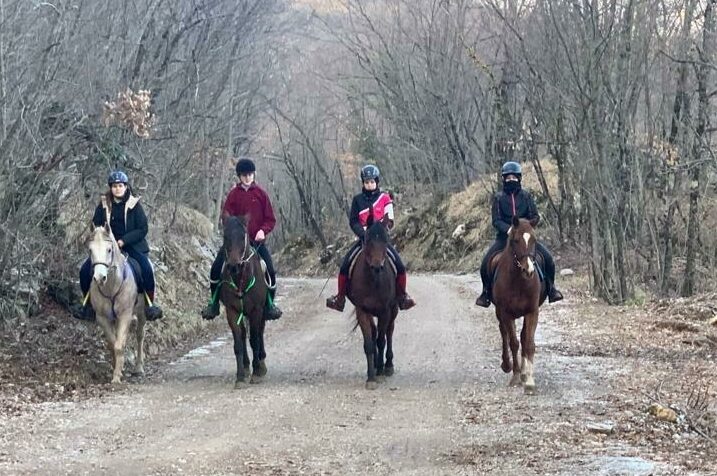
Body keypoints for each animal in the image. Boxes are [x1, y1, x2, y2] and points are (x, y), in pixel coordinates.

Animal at [87, 224, 146, 384]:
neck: (111, 287)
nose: (99, 278)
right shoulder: (103, 318)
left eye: (109, 249)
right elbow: (112, 344)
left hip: (141, 313)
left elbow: (119, 345)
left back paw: (139, 368)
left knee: (140, 336)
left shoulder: (125, 315)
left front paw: (117, 377)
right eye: (90, 250)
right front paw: (117, 369)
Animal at [217, 218, 268, 388]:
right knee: (245, 334)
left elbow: (255, 339)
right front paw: (240, 376)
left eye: (243, 236)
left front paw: (257, 372)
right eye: (225, 236)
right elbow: (238, 342)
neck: (241, 280)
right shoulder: (232, 311)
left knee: (259, 332)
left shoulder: (256, 310)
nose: (234, 266)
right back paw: (246, 367)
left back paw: (261, 364)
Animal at [346, 219, 398, 390]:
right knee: (375, 333)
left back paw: (388, 365)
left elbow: (382, 341)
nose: (377, 267)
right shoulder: (362, 310)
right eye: (368, 240)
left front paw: (380, 372)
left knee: (389, 332)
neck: (373, 281)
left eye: (385, 240)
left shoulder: (385, 311)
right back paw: (375, 365)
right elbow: (369, 343)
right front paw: (371, 377)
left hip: (394, 310)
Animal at [490, 216, 544, 394]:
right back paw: (507, 365)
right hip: (499, 312)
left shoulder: (532, 311)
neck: (519, 281)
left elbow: (528, 343)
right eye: (515, 240)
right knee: (504, 333)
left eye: (534, 239)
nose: (529, 271)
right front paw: (515, 376)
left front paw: (529, 381)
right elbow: (513, 343)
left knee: (522, 337)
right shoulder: (506, 313)